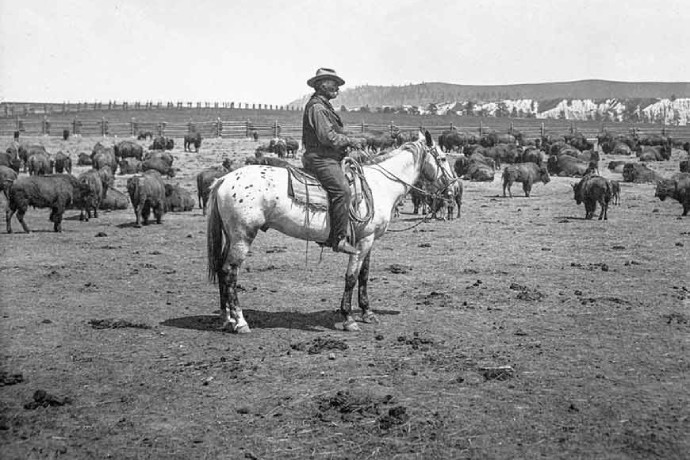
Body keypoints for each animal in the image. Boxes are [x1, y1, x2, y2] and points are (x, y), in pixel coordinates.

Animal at [203, 131, 456, 332]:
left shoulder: (368, 240)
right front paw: (348, 318)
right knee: (229, 272)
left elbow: (364, 275)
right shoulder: (362, 243)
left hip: (231, 236)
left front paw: (367, 313)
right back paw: (240, 322)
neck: (380, 186)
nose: (453, 187)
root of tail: (224, 179)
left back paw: (226, 319)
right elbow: (351, 277)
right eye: (443, 158)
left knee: (221, 269)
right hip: (243, 236)